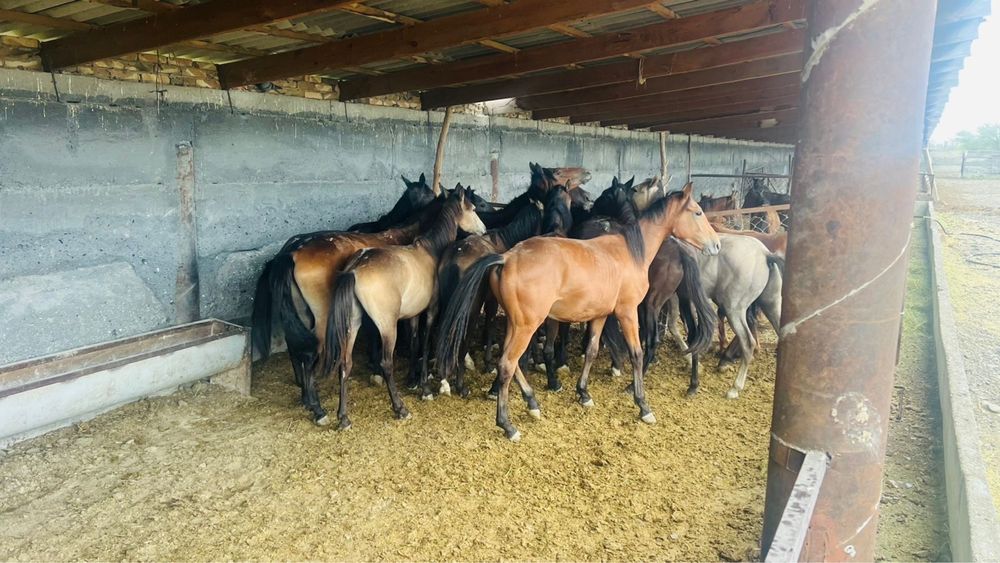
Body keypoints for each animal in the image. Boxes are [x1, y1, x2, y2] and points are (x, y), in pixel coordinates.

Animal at [326, 186, 486, 429]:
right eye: (473, 208)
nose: (484, 230)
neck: (431, 250)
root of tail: (355, 268)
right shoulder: (430, 310)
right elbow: (425, 343)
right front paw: (425, 388)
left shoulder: (412, 314)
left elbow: (414, 343)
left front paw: (412, 380)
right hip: (387, 326)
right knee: (386, 363)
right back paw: (400, 408)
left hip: (352, 324)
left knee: (345, 364)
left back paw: (344, 418)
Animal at [436, 183, 721, 441]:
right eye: (697, 212)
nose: (716, 245)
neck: (630, 252)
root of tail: (506, 258)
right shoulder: (628, 313)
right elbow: (637, 354)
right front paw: (643, 405)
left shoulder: (600, 315)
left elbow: (592, 350)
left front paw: (583, 393)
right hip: (527, 326)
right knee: (506, 364)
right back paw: (508, 425)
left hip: (516, 325)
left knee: (512, 363)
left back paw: (532, 403)